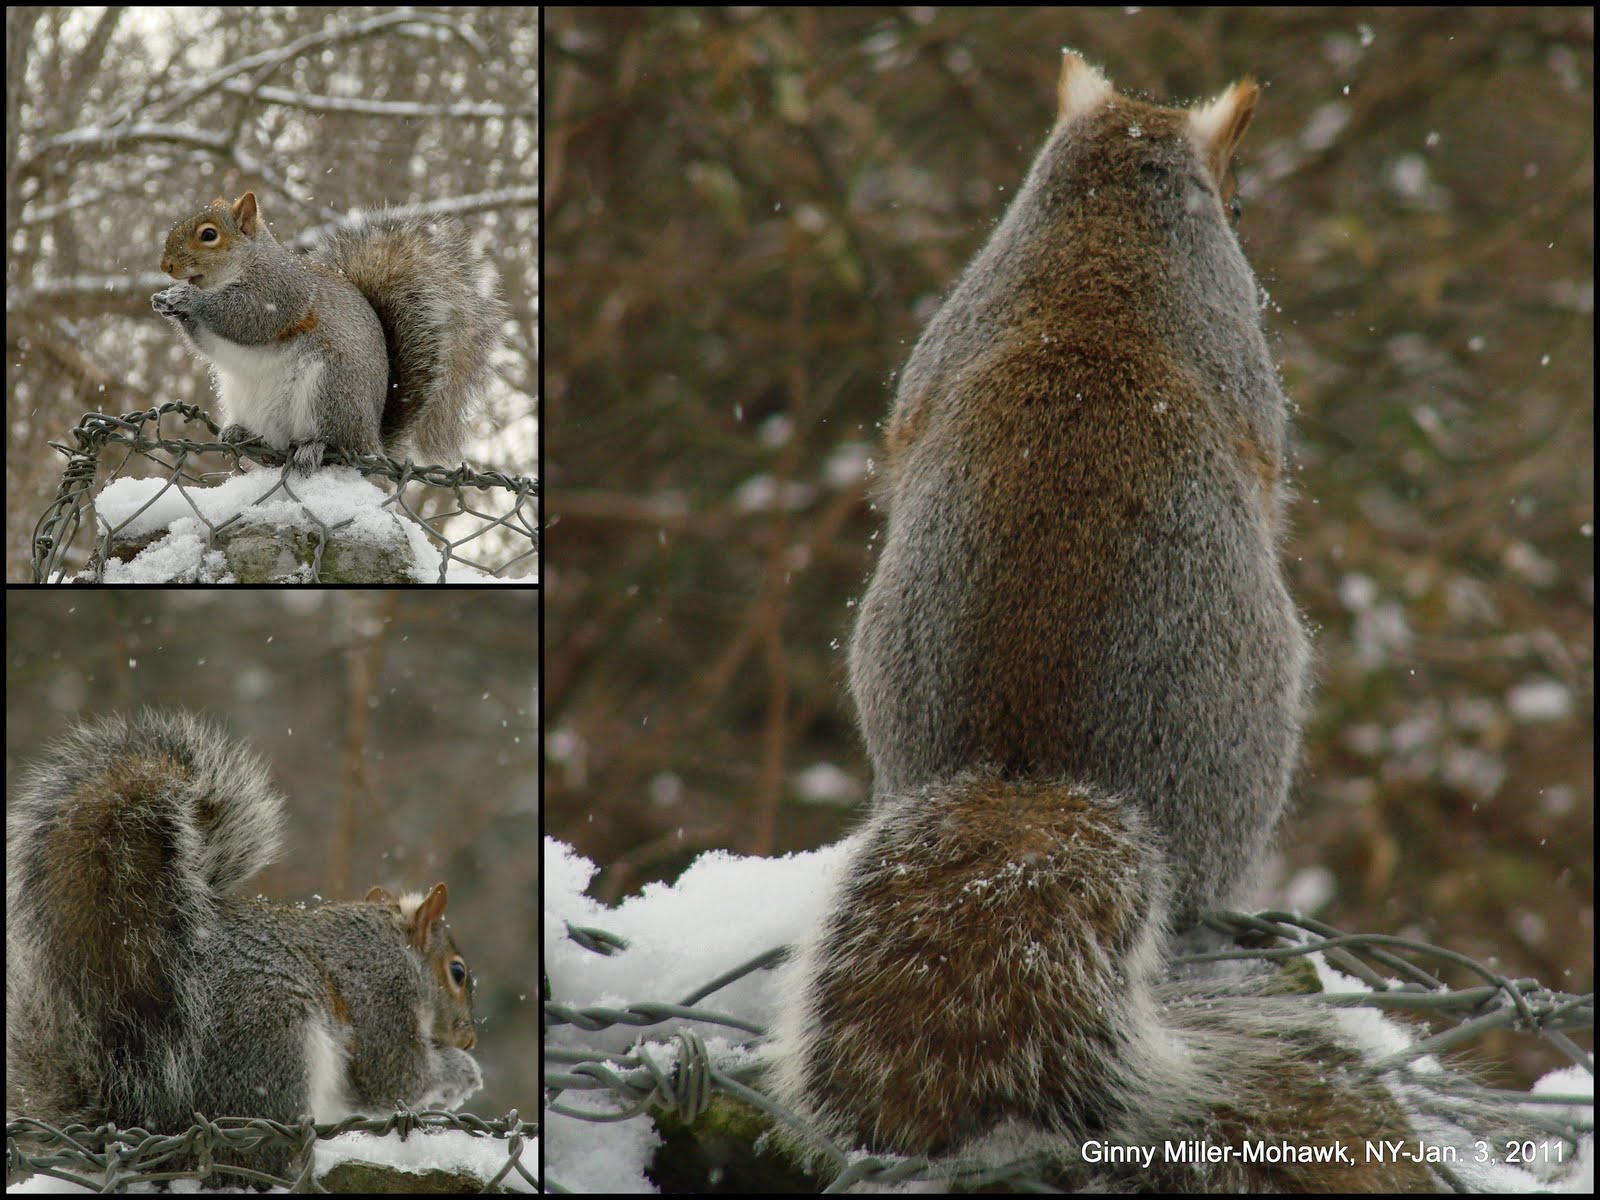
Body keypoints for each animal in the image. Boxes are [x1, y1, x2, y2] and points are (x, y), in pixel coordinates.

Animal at [5, 709, 482, 1180]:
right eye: (457, 972)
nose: (470, 1039)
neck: (398, 946)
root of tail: (152, 1123)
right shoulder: (382, 992)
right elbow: (397, 1077)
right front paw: (465, 1073)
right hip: (276, 1045)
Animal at [152, 191, 504, 474]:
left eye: (209, 234)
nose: (166, 266)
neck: (246, 262)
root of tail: (372, 441)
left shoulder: (279, 293)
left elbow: (244, 318)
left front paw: (186, 298)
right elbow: (210, 343)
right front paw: (165, 301)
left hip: (330, 388)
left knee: (333, 440)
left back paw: (314, 448)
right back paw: (241, 433)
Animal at [767, 51, 1445, 1189]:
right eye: (1234, 201)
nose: (1245, 210)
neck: (1104, 220)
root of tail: (1025, 763)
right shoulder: (1246, 377)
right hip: (1251, 736)